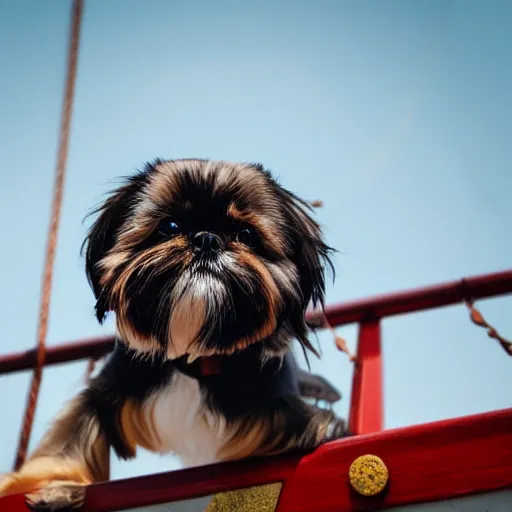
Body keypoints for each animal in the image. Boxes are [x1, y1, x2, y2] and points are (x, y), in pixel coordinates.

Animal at [1, 159, 348, 508]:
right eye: (169, 226)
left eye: (246, 234)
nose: (207, 239)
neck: (196, 358)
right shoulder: (109, 390)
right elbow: (70, 440)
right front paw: (58, 486)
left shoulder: (298, 420)